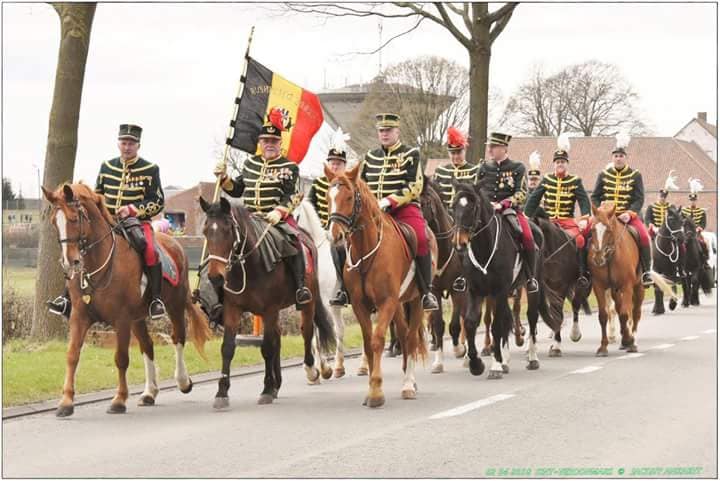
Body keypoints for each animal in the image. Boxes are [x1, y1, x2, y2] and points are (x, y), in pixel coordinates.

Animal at [41, 184, 211, 416]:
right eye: (54, 222)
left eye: (74, 218)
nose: (70, 262)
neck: (99, 262)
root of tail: (174, 243)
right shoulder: (79, 316)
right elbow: (72, 355)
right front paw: (66, 402)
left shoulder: (121, 319)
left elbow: (121, 358)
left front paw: (119, 400)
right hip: (138, 318)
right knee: (148, 345)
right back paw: (149, 393)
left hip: (174, 306)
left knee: (178, 338)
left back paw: (183, 381)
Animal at [198, 197, 336, 406]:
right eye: (206, 230)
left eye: (228, 229)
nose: (215, 277)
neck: (250, 265)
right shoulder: (233, 309)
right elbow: (228, 348)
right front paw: (221, 393)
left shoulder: (270, 309)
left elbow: (267, 348)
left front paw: (266, 389)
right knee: (278, 336)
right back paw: (277, 384)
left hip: (307, 302)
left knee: (306, 331)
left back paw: (310, 371)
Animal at [294, 201, 348, 376]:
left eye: (296, 216)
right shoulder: (311, 304)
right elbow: (312, 334)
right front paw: (320, 368)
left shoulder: (328, 304)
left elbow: (334, 330)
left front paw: (333, 367)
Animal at [326, 163, 438, 406]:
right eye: (329, 197)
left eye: (349, 197)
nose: (335, 236)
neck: (366, 250)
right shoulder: (361, 305)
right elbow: (368, 343)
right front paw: (371, 387)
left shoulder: (386, 302)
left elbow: (377, 340)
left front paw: (376, 391)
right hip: (399, 304)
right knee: (404, 335)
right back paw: (408, 377)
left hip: (415, 300)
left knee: (411, 338)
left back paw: (408, 384)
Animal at [450, 182, 556, 376]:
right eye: (453, 207)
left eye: (473, 207)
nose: (459, 243)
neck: (485, 248)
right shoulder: (475, 291)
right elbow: (470, 323)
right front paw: (476, 364)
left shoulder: (499, 291)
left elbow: (497, 326)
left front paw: (495, 365)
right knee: (507, 318)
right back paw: (506, 360)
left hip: (531, 287)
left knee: (531, 316)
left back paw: (532, 358)